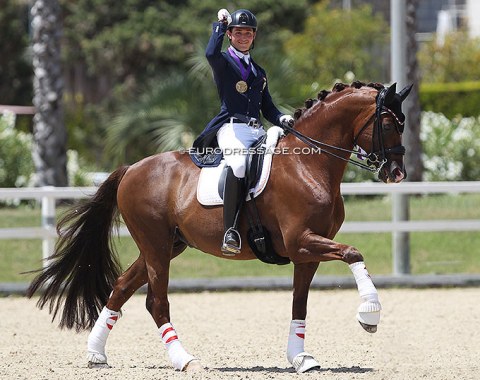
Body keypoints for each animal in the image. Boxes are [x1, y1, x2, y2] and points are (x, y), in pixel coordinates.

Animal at [26, 81, 410, 374]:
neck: (308, 164)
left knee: (120, 288)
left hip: (167, 245)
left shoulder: (307, 252)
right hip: (155, 244)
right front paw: (370, 314)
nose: (397, 173)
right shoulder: (301, 241)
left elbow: (299, 305)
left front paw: (301, 358)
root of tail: (131, 168)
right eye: (389, 124)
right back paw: (184, 359)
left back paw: (96, 354)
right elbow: (353, 252)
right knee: (156, 302)